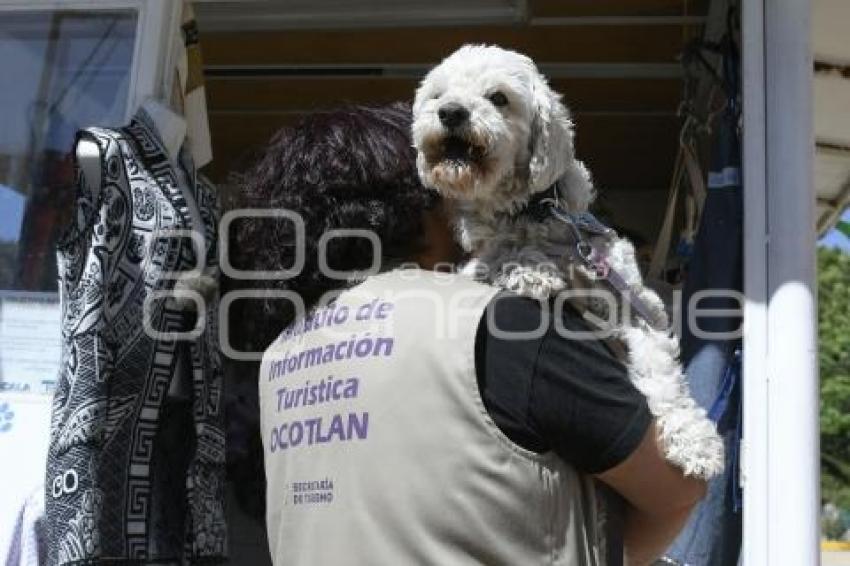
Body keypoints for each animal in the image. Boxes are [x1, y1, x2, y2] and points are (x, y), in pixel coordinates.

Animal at [412, 44, 724, 482]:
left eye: (499, 98)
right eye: (439, 95)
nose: (451, 112)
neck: (534, 212)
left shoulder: (638, 308)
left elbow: (663, 374)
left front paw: (697, 440)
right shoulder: (475, 261)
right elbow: (495, 258)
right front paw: (529, 269)